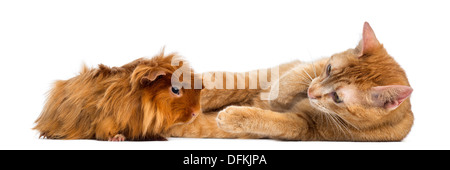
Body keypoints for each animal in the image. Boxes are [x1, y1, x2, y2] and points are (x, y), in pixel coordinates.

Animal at [167, 22, 414, 142]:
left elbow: (272, 120)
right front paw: (277, 97)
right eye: (329, 69)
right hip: (254, 77)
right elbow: (296, 75)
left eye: (337, 97)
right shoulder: (311, 67)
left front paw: (240, 115)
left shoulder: (305, 126)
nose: (312, 93)